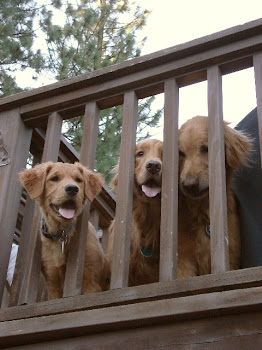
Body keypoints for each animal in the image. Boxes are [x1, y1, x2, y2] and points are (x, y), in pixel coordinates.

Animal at [19, 162, 109, 300]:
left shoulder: (90, 282)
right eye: (54, 178)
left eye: (78, 180)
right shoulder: (53, 283)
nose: (72, 189)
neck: (61, 233)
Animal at [178, 116, 252, 274]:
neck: (202, 214)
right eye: (181, 153)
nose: (189, 184)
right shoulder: (183, 260)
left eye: (206, 149)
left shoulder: (230, 258)